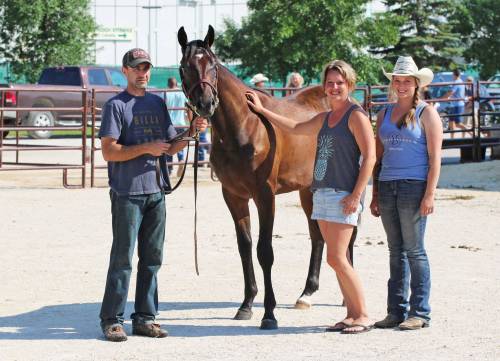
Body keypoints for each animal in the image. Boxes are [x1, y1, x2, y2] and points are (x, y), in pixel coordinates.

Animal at [177, 26, 356, 330]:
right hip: (308, 190)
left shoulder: (264, 195)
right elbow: (245, 246)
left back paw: (346, 297)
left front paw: (269, 313)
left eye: (213, 65)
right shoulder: (233, 195)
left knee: (350, 235)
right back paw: (306, 293)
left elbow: (264, 250)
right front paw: (247, 304)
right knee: (317, 236)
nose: (205, 104)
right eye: (184, 66)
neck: (244, 126)